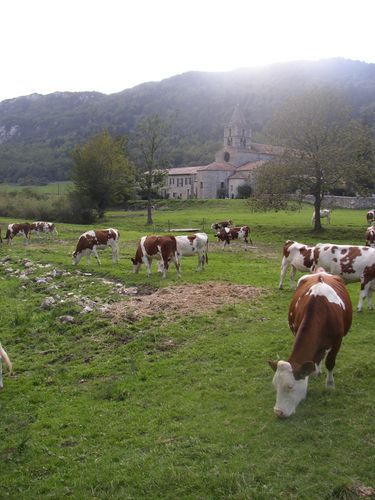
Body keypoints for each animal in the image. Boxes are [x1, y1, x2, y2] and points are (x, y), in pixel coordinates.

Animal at [270, 270, 352, 418]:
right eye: (275, 386)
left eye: (290, 386)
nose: (278, 412)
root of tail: (321, 272)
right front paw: (313, 373)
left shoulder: (338, 341)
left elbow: (330, 362)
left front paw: (330, 385)